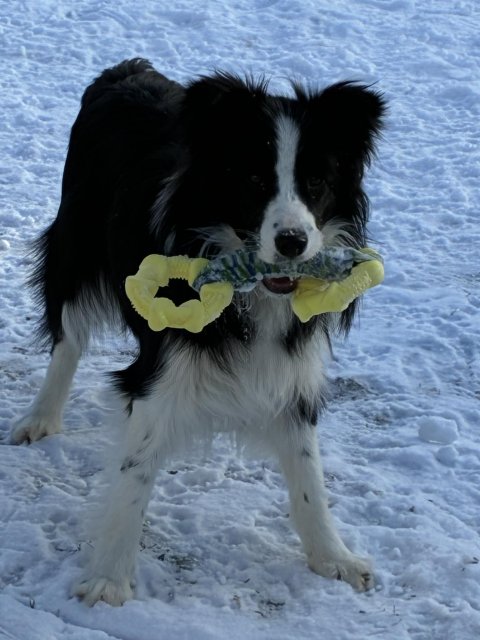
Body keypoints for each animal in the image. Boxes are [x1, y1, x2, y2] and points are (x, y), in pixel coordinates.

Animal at [12, 59, 385, 605]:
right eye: (254, 179)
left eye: (316, 182)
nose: (293, 242)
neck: (254, 299)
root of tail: (125, 69)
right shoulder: (159, 366)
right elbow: (136, 471)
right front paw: (108, 579)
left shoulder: (291, 366)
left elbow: (308, 472)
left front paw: (333, 558)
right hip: (75, 244)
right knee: (68, 337)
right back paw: (41, 417)